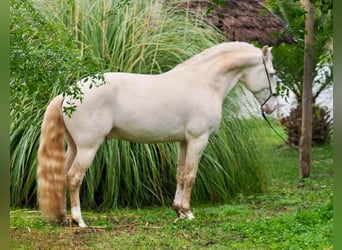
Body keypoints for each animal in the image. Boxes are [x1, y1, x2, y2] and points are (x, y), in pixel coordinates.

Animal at [36, 41, 278, 227]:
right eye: (272, 73)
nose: (271, 107)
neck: (204, 83)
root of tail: (68, 94)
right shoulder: (198, 140)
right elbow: (191, 175)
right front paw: (189, 212)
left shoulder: (183, 141)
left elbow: (181, 175)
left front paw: (179, 211)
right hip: (88, 147)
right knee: (74, 178)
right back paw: (80, 220)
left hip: (74, 147)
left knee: (61, 177)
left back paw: (63, 217)